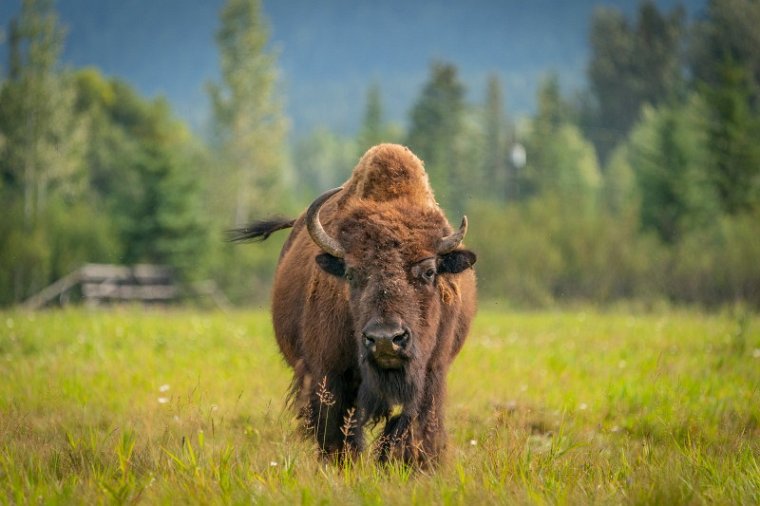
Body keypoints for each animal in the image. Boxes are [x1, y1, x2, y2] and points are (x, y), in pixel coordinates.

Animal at [235, 143, 478, 466]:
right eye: (351, 273)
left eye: (429, 271)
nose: (386, 339)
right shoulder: (331, 377)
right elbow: (339, 434)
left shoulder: (430, 375)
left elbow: (413, 429)